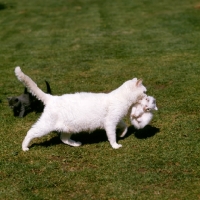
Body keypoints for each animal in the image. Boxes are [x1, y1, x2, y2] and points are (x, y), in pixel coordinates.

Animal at [14, 66, 147, 151]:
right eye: (144, 92)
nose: (147, 96)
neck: (121, 98)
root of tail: (52, 98)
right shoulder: (110, 123)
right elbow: (112, 136)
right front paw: (115, 146)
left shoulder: (116, 120)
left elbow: (124, 126)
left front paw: (122, 134)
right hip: (45, 126)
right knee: (31, 132)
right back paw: (24, 147)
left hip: (69, 127)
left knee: (63, 139)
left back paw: (76, 144)